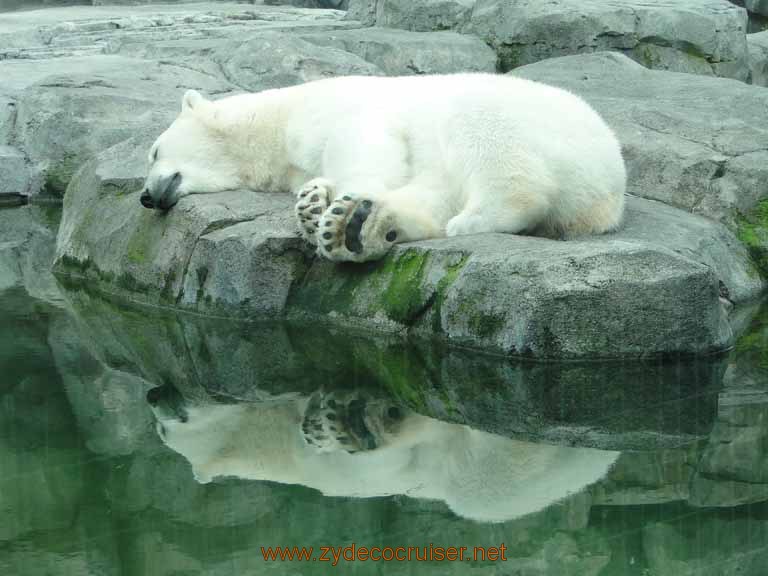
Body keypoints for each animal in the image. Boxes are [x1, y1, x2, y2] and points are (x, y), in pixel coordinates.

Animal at [142, 73, 624, 262]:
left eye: (153, 151)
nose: (146, 196)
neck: (275, 120)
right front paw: (317, 205)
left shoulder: (335, 111)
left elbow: (368, 143)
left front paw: (337, 201)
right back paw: (363, 227)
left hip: (530, 126)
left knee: (486, 140)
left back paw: (474, 219)